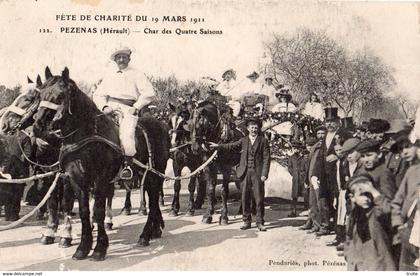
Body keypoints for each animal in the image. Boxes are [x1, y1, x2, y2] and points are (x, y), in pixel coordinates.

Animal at [32, 67, 171, 260]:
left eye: (60, 95)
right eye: (40, 94)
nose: (38, 126)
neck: (86, 133)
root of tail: (162, 126)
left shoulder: (100, 180)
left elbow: (98, 212)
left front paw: (99, 248)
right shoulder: (77, 180)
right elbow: (84, 212)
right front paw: (83, 247)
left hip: (153, 173)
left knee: (153, 201)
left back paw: (145, 235)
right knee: (153, 201)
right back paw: (154, 231)